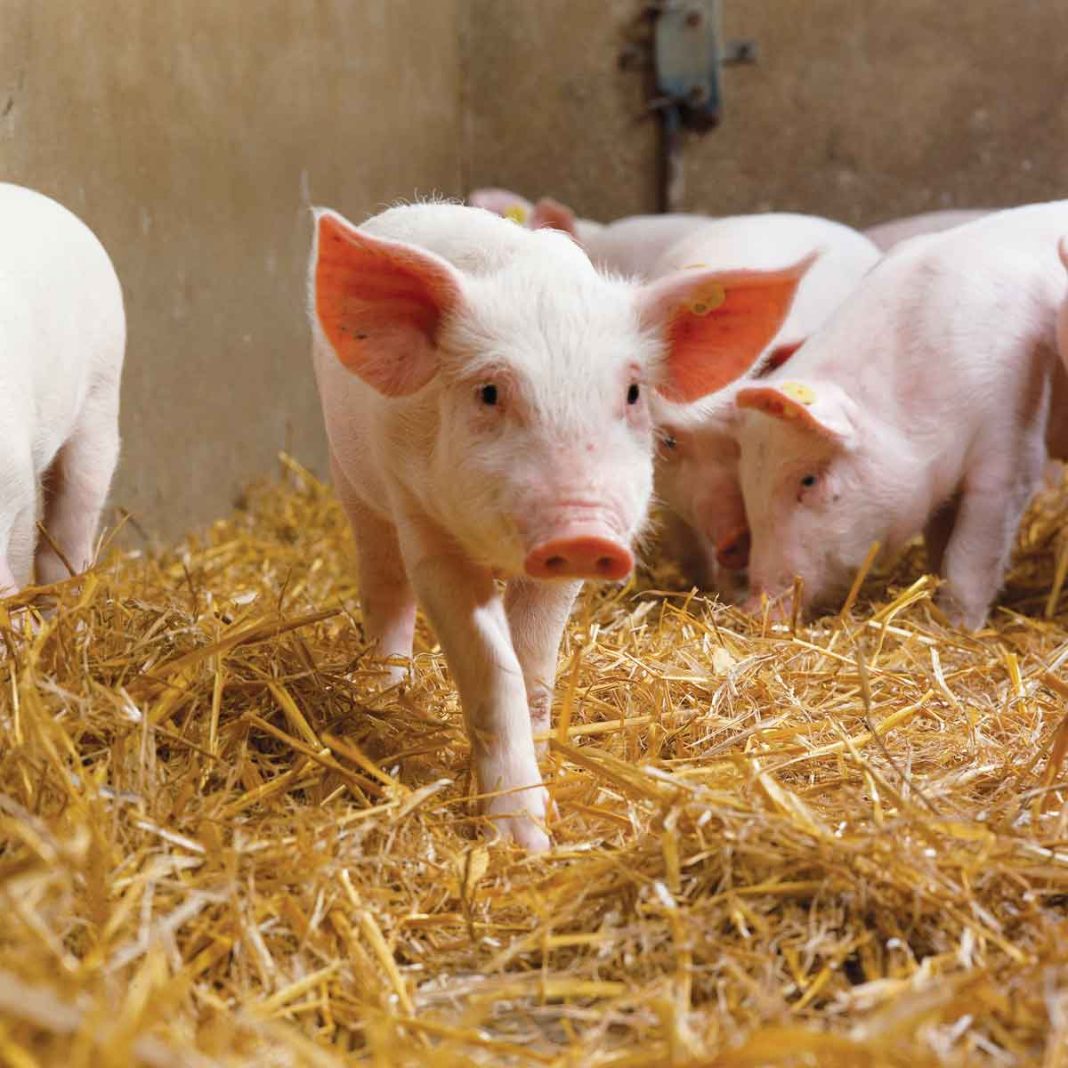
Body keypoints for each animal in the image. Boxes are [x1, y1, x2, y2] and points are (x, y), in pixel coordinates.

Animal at [309, 201, 809, 848]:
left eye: (632, 392)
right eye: (489, 392)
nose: (581, 531)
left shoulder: (561, 574)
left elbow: (532, 658)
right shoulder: (423, 525)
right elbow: (489, 666)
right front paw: (518, 841)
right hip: (353, 481)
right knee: (384, 586)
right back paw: (386, 692)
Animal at [735, 201, 1068, 629]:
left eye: (809, 480)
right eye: (747, 483)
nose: (753, 607)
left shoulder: (1012, 436)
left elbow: (973, 552)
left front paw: (953, 627)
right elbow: (941, 540)